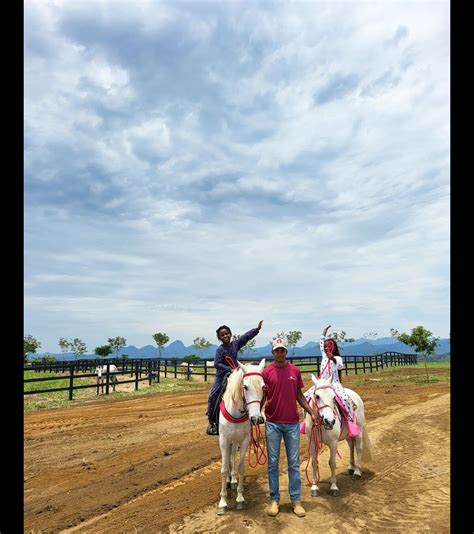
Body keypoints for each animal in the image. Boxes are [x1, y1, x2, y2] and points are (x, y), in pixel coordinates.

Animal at [217, 360, 264, 516]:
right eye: (245, 387)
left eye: (264, 386)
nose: (256, 419)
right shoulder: (224, 440)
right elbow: (224, 469)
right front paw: (223, 502)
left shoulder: (244, 441)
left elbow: (241, 468)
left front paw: (239, 498)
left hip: (235, 440)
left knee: (232, 454)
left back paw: (233, 479)